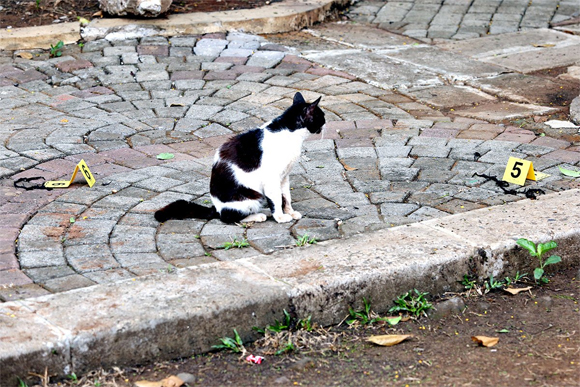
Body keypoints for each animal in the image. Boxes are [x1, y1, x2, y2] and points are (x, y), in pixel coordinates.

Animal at [154, 92, 324, 224]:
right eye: (321, 117)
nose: (325, 124)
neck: (290, 135)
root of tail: (216, 208)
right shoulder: (272, 179)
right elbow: (276, 199)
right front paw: (280, 217)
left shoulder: (284, 176)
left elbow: (286, 196)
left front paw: (290, 212)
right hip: (251, 196)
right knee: (228, 218)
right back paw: (258, 215)